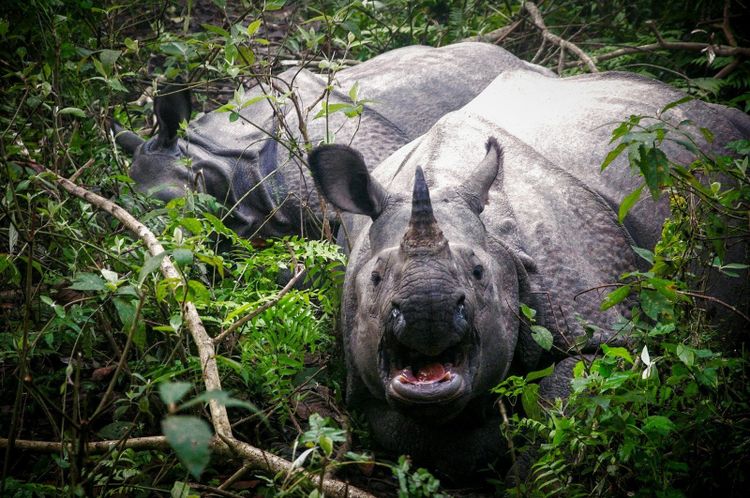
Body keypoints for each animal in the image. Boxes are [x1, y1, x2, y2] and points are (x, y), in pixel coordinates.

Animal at [308, 62, 750, 474]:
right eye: (376, 278)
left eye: (479, 274)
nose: (428, 309)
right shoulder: (364, 385)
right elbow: (412, 435)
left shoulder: (601, 324)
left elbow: (565, 402)